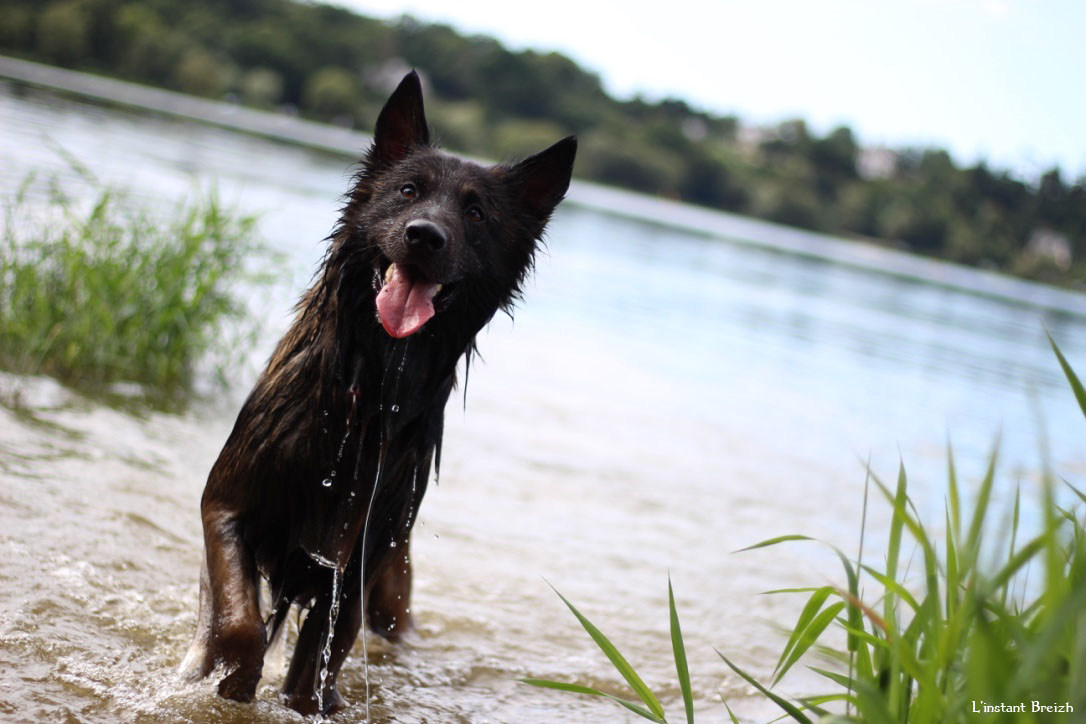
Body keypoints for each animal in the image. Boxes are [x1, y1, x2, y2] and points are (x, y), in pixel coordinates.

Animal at [180, 70, 577, 716]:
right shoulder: (227, 504)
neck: (366, 397)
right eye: (408, 191)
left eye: (475, 212)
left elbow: (315, 667)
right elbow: (239, 623)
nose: (424, 236)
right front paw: (231, 679)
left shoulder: (355, 566)